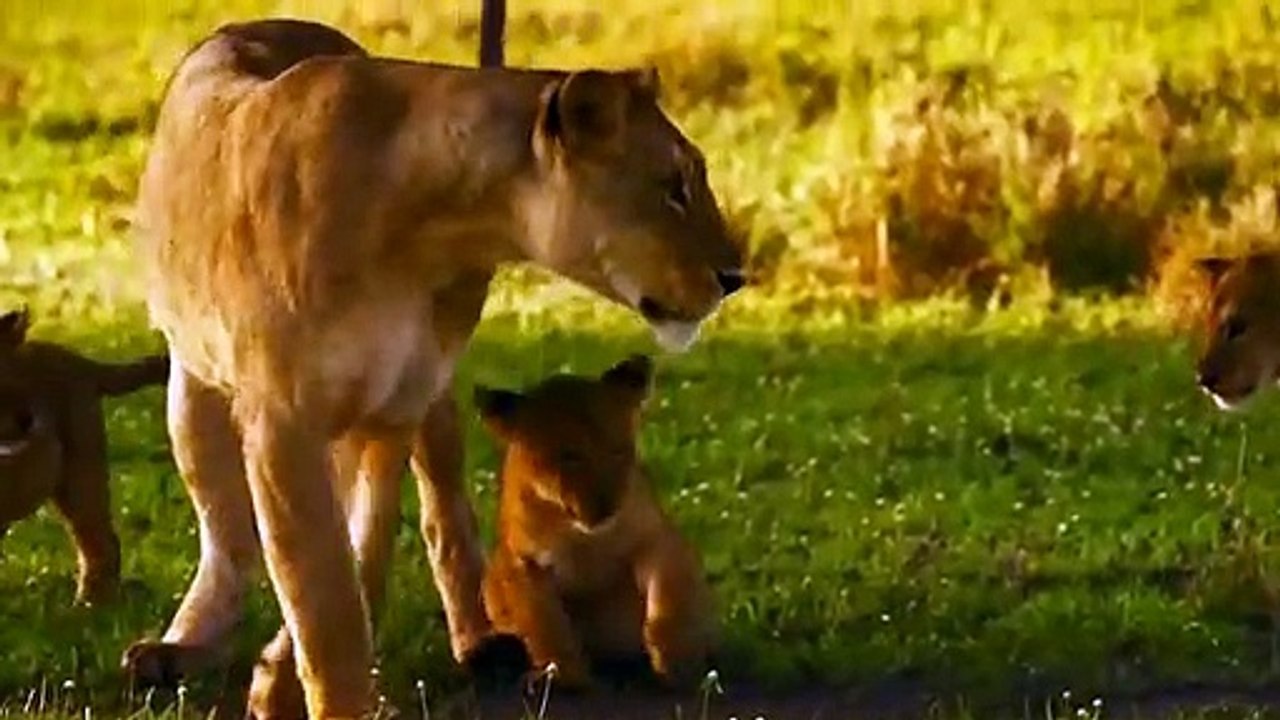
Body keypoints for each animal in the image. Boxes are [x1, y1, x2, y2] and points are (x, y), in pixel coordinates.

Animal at [475, 355, 717, 691]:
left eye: (618, 450)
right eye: (568, 456)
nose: (607, 506)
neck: (583, 538)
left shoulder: (657, 540)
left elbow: (668, 598)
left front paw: (676, 663)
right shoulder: (520, 564)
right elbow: (545, 624)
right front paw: (564, 677)